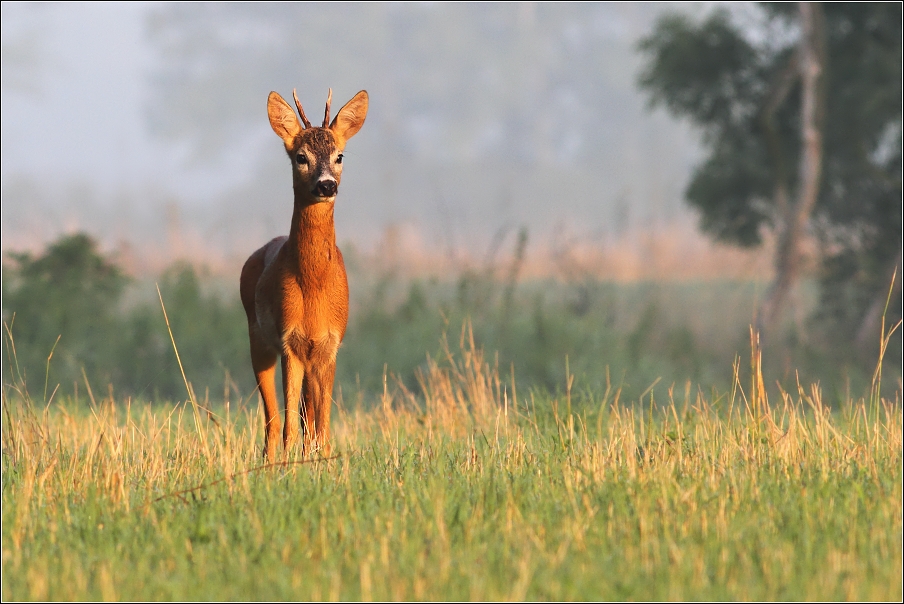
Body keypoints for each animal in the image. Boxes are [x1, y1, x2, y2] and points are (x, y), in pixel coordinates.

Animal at [240, 87, 370, 460]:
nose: (326, 185)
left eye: (340, 156)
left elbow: (321, 424)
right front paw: (289, 466)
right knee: (272, 422)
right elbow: (288, 426)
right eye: (301, 157)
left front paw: (322, 461)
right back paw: (270, 461)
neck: (314, 286)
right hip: (257, 341)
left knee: (306, 418)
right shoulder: (289, 341)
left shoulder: (329, 344)